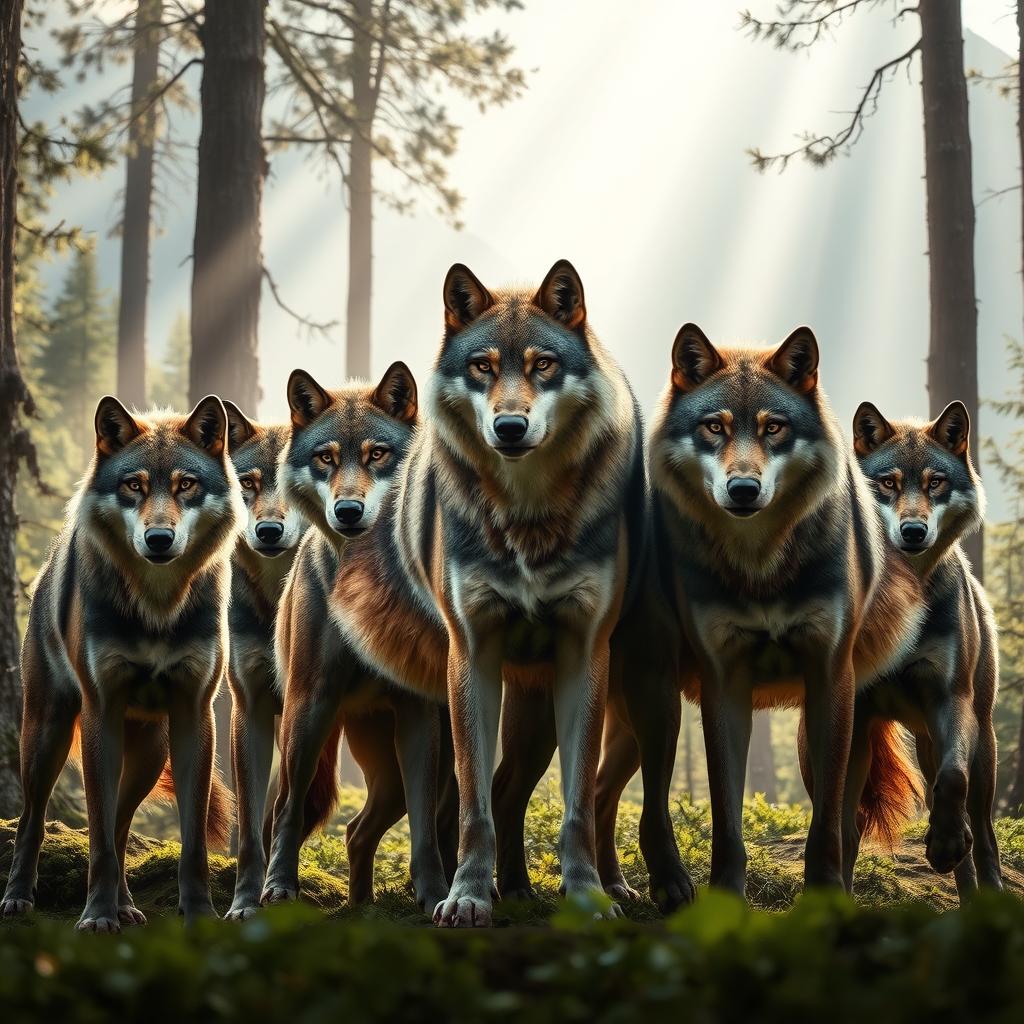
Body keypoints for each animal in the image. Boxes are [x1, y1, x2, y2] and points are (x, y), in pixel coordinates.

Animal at [0, 396, 241, 930]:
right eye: (134, 485)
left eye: (185, 485)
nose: (159, 538)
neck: (156, 606)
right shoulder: (100, 711)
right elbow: (95, 837)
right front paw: (96, 917)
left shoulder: (196, 715)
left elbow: (191, 841)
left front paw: (199, 913)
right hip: (45, 737)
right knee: (33, 820)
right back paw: (18, 897)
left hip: (149, 755)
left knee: (121, 823)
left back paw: (128, 905)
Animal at [259, 364, 454, 914]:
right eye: (326, 458)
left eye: (377, 454)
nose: (348, 510)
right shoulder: (309, 701)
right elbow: (289, 814)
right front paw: (279, 887)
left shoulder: (417, 713)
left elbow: (425, 833)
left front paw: (434, 896)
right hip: (317, 730)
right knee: (300, 813)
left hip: (409, 773)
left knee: (361, 830)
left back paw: (363, 906)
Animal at [321, 260, 646, 927]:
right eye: (483, 367)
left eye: (543, 364)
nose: (510, 426)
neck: (528, 516)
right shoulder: (471, 655)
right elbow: (475, 809)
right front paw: (467, 896)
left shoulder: (585, 656)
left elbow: (575, 805)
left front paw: (586, 895)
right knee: (462, 804)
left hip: (541, 721)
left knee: (509, 793)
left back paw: (520, 888)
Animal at [628, 323, 926, 896]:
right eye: (715, 427)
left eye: (774, 428)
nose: (744, 488)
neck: (759, 563)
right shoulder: (723, 683)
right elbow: (726, 811)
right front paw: (724, 895)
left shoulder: (829, 677)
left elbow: (827, 820)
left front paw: (826, 894)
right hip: (655, 701)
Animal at [840, 400, 1002, 899]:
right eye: (889, 483)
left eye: (935, 482)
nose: (913, 531)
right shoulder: (853, 711)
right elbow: (838, 827)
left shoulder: (953, 699)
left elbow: (953, 781)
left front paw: (946, 843)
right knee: (846, 826)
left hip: (980, 746)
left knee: (982, 835)